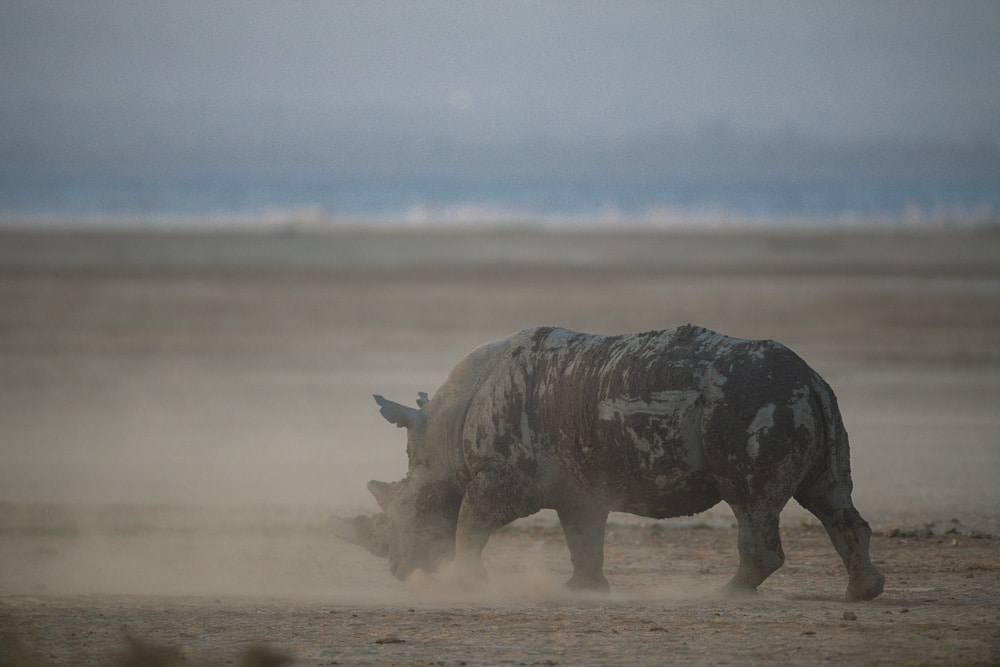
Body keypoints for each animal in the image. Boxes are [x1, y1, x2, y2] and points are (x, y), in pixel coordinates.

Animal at [334, 326, 884, 604]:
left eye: (403, 512)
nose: (398, 571)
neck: (442, 438)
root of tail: (811, 377)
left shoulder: (502, 477)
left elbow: (471, 522)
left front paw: (467, 583)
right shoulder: (578, 486)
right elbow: (583, 537)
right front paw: (584, 589)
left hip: (752, 403)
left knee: (751, 502)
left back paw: (723, 593)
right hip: (810, 401)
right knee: (829, 497)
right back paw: (863, 593)